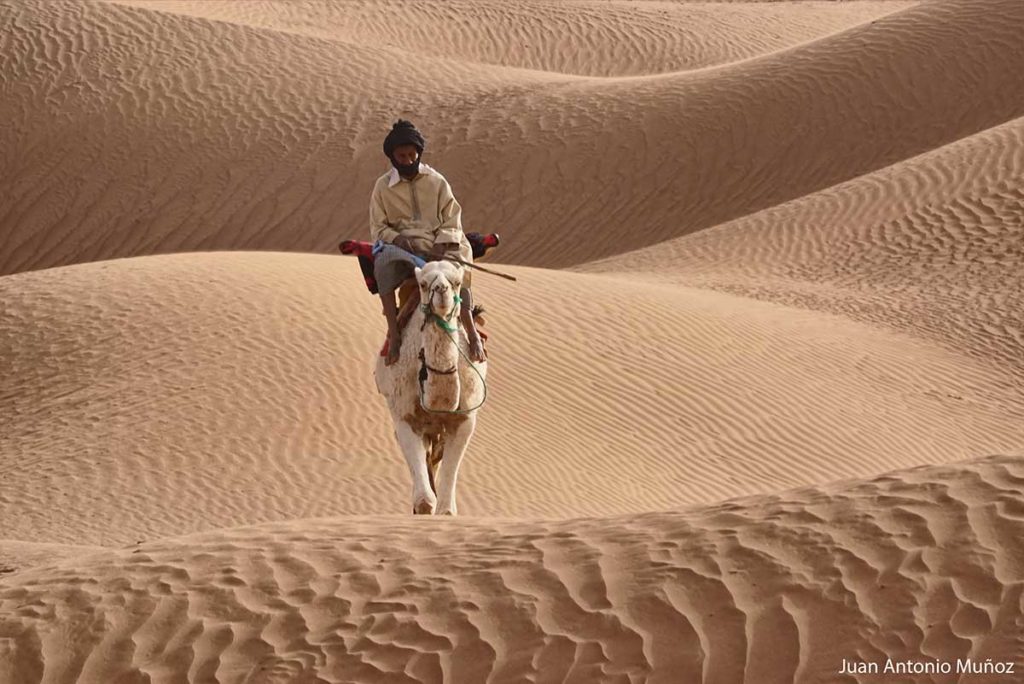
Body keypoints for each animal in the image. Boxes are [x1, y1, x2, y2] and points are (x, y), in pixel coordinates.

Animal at [376, 260, 487, 511]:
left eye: (457, 282)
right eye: (424, 284)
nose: (441, 290)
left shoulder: (465, 419)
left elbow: (446, 508)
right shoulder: (405, 417)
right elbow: (425, 502)